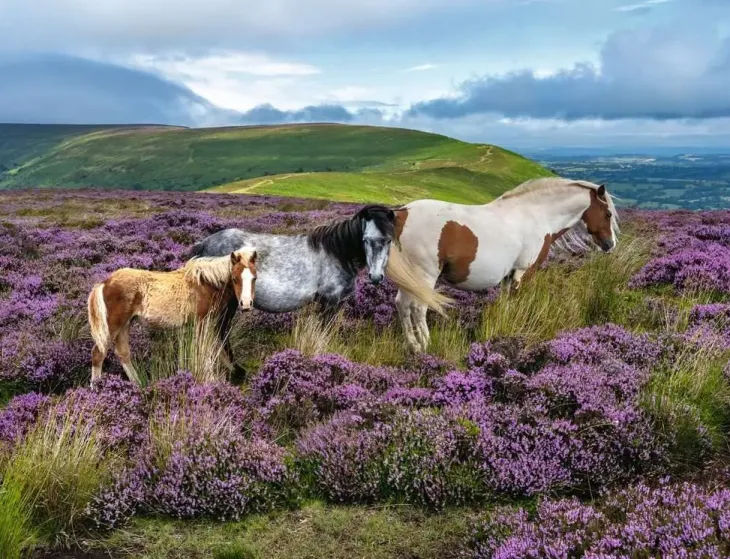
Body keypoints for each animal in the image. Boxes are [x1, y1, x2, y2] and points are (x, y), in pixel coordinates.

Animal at [87, 248, 257, 385]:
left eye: (254, 278)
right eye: (235, 278)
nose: (246, 304)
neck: (206, 283)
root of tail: (104, 283)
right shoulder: (202, 321)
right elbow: (205, 350)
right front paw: (210, 380)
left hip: (125, 325)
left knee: (123, 354)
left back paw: (138, 386)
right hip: (113, 326)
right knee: (98, 354)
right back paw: (96, 388)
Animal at [188, 204, 448, 346]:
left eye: (388, 240)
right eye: (365, 239)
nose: (375, 278)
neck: (337, 252)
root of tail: (204, 244)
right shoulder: (330, 302)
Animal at [390, 177, 619, 353]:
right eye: (607, 213)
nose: (610, 244)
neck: (537, 215)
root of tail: (403, 213)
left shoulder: (509, 275)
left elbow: (507, 304)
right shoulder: (523, 272)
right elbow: (518, 302)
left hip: (410, 279)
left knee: (402, 304)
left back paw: (413, 346)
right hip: (425, 276)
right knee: (418, 308)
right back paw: (426, 345)